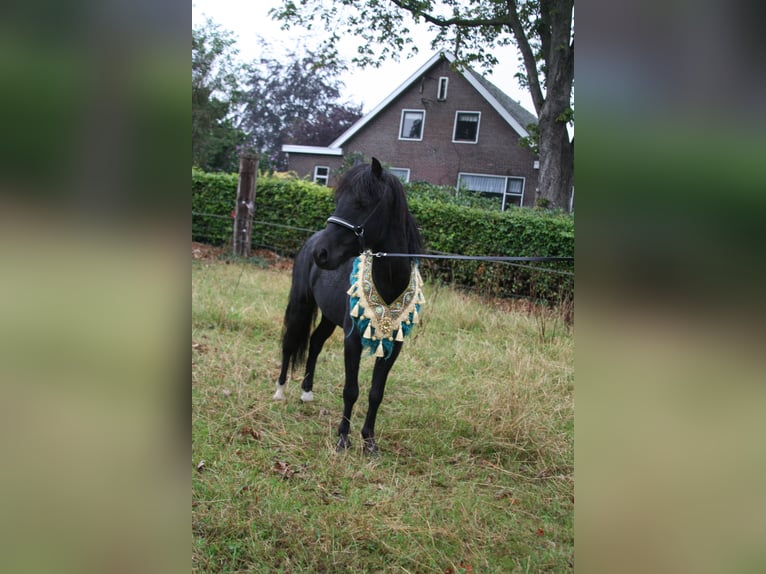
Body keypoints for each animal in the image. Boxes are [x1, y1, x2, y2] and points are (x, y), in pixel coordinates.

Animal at [272, 160, 424, 456]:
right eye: (338, 200)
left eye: (362, 202)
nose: (321, 254)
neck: (388, 284)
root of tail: (311, 240)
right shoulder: (352, 338)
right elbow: (351, 390)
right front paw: (343, 438)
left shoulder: (393, 345)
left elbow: (376, 393)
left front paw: (369, 441)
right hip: (301, 304)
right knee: (290, 342)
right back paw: (280, 391)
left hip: (330, 318)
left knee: (315, 343)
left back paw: (307, 392)